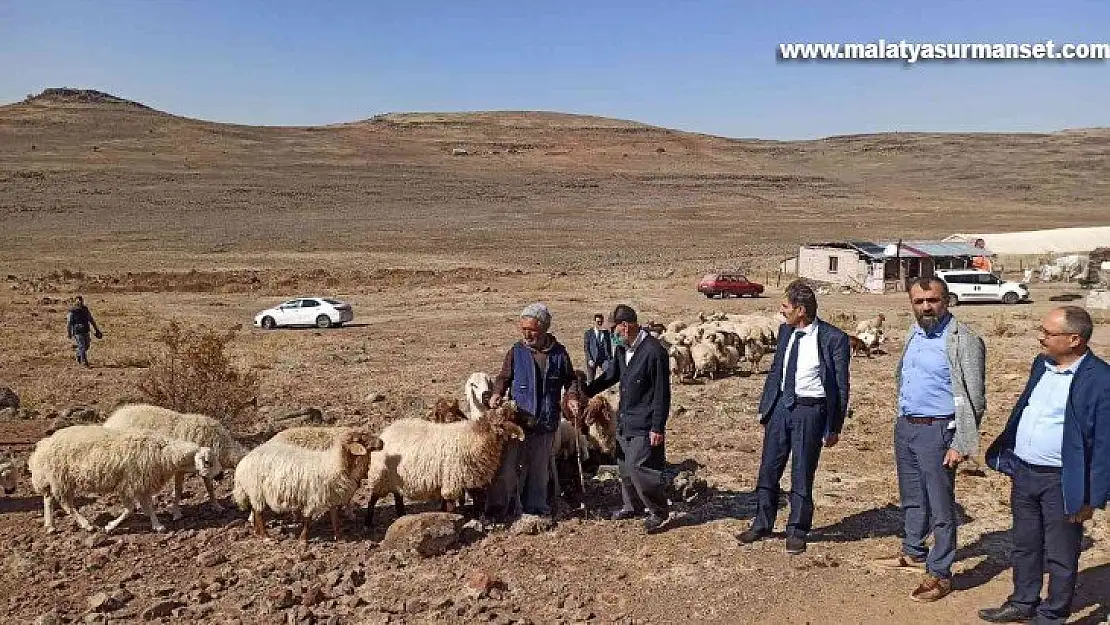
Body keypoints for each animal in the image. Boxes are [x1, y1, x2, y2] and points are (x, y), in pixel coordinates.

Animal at [27, 426, 218, 532]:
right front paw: (110, 526)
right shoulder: (130, 484)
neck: (164, 454)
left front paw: (157, 525)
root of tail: (42, 446)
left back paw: (50, 526)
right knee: (67, 505)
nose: (218, 475)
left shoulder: (142, 484)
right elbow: (130, 510)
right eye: (207, 462)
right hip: (60, 478)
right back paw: (86, 525)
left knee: (48, 499)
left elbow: (148, 507)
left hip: (57, 479)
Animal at [102, 404, 247, 521]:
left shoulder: (204, 469)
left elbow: (210, 488)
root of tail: (113, 417)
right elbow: (178, 490)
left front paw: (217, 507)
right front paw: (176, 513)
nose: (220, 476)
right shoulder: (181, 468)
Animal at [230, 428, 381, 539]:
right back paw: (266, 536)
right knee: (259, 513)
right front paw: (303, 539)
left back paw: (257, 532)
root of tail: (243, 462)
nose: (382, 442)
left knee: (254, 509)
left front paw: (339, 537)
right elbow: (308, 519)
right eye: (362, 438)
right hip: (256, 490)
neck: (334, 463)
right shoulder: (312, 496)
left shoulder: (332, 495)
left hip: (254, 491)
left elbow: (334, 518)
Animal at [361, 401, 521, 528]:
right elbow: (450, 505)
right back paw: (368, 522)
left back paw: (401, 515)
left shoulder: (468, 478)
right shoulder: (452, 480)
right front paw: (450, 519)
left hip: (396, 478)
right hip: (380, 476)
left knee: (397, 496)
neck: (477, 435)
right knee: (373, 498)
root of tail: (386, 431)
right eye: (508, 417)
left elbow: (475, 500)